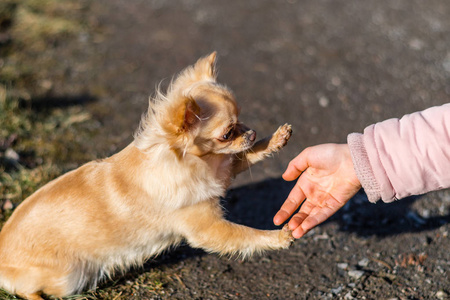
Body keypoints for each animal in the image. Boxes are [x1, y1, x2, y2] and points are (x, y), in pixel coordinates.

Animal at [0, 52, 294, 298]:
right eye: (227, 133)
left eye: (241, 121)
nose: (252, 132)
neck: (196, 162)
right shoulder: (209, 229)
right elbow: (246, 235)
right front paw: (279, 237)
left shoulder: (220, 171)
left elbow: (244, 157)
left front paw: (274, 140)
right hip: (68, 276)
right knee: (29, 291)